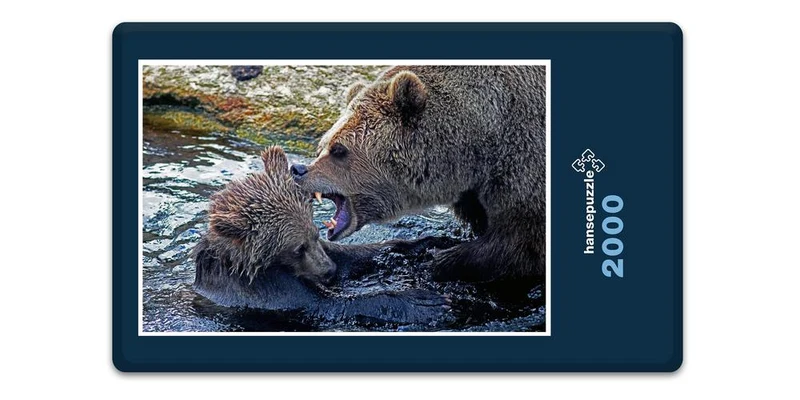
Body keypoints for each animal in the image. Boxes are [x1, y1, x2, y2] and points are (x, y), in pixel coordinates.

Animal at [192, 145, 452, 325]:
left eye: (316, 235)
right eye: (297, 248)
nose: (329, 271)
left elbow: (353, 256)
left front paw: (428, 242)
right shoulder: (269, 292)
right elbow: (328, 304)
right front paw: (425, 301)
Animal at [291, 65, 546, 283]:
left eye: (338, 150)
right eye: (322, 146)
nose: (298, 169)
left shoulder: (522, 161)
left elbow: (520, 242)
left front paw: (440, 258)